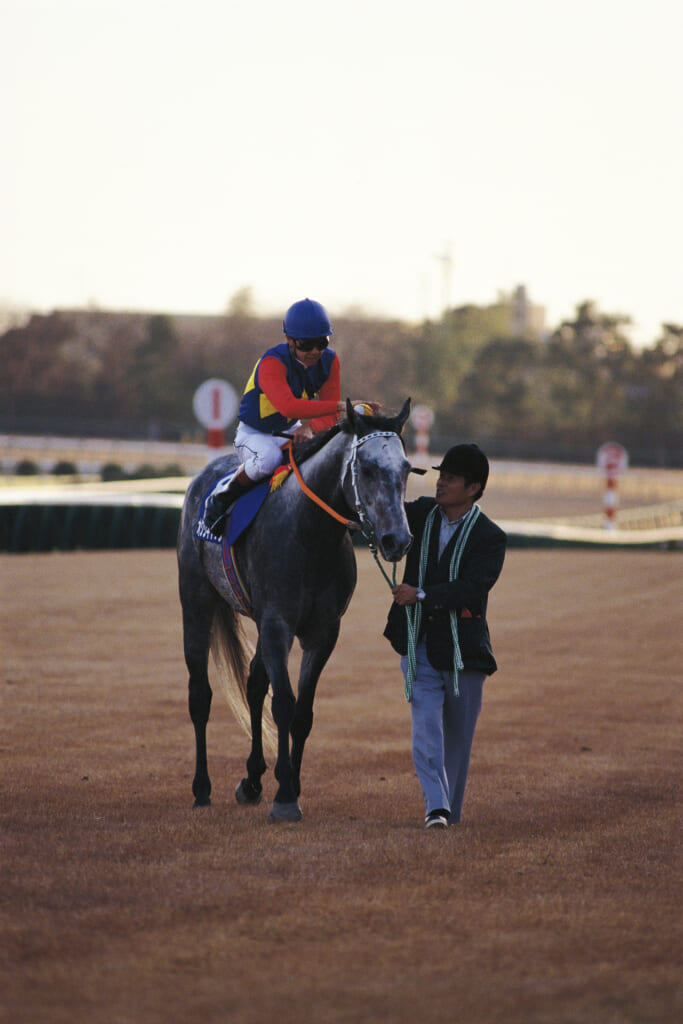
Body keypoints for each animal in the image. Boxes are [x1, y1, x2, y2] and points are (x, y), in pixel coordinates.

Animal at [177, 398, 414, 822]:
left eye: (405, 469)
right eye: (368, 468)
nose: (397, 540)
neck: (310, 535)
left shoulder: (322, 631)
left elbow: (303, 711)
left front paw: (289, 784)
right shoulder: (278, 624)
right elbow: (284, 705)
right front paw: (285, 795)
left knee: (254, 686)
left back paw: (253, 780)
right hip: (197, 603)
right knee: (200, 695)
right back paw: (202, 787)